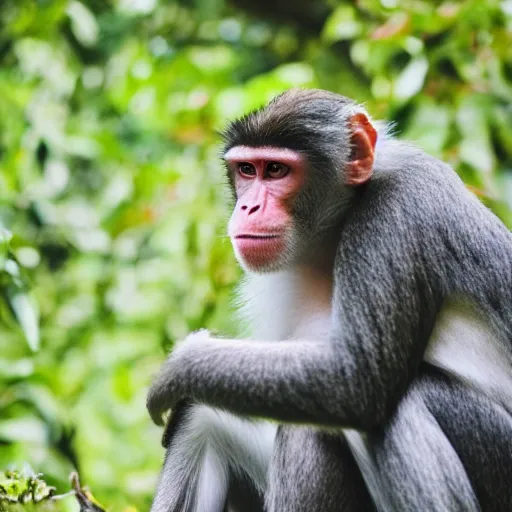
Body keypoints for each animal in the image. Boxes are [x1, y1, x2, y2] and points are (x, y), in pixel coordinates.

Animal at [147, 89, 512, 512]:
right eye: (246, 171)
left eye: (276, 170)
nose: (248, 207)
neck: (330, 237)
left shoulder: (399, 206)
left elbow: (355, 380)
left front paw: (178, 367)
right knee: (203, 416)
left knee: (392, 403)